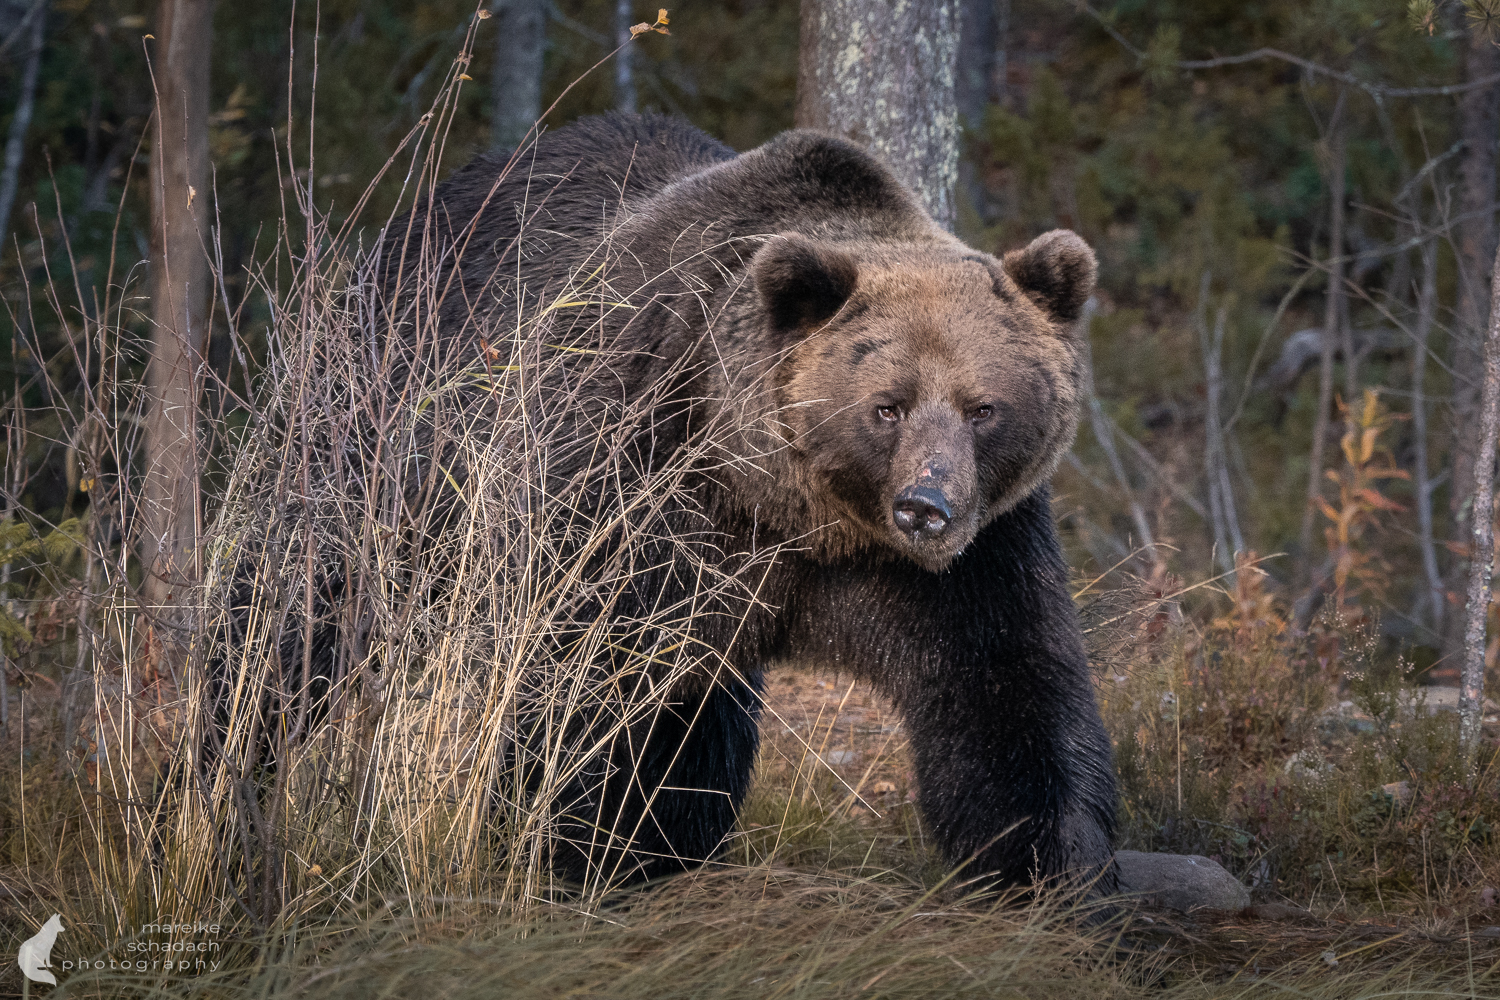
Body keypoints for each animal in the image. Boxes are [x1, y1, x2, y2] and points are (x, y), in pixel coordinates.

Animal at [253, 111, 1117, 894]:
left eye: (983, 407)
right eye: (887, 406)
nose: (925, 508)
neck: (781, 502)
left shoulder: (967, 554)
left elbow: (1008, 688)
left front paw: (1054, 865)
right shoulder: (619, 472)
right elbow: (570, 682)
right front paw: (569, 846)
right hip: (382, 425)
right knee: (296, 601)